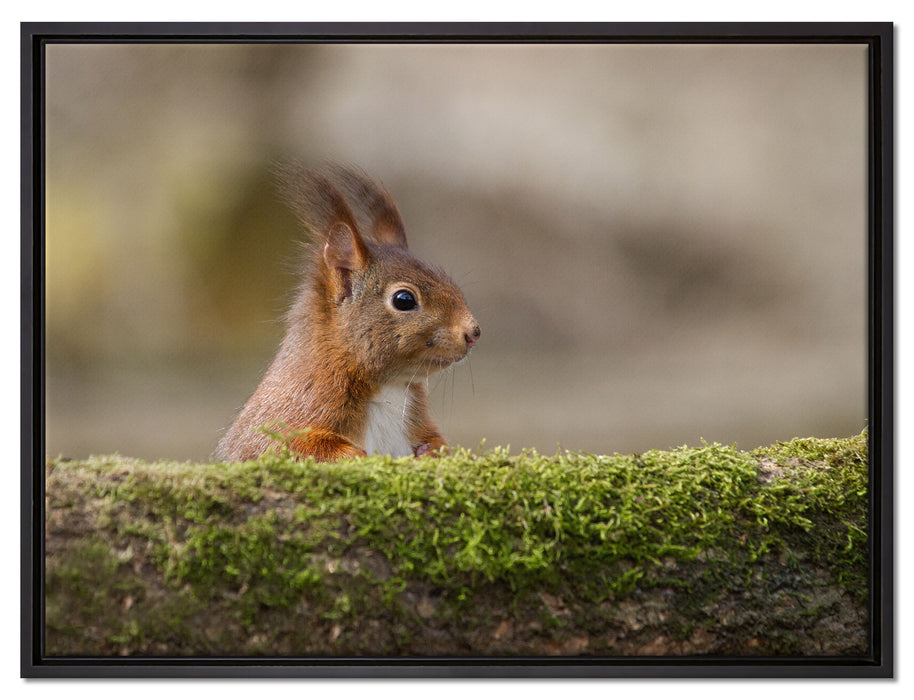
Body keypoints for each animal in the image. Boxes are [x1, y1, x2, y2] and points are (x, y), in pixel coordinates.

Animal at [214, 164, 481, 462]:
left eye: (448, 280)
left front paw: (432, 451)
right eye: (404, 299)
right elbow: (294, 446)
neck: (389, 388)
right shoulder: (289, 416)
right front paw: (357, 456)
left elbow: (435, 440)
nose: (473, 332)